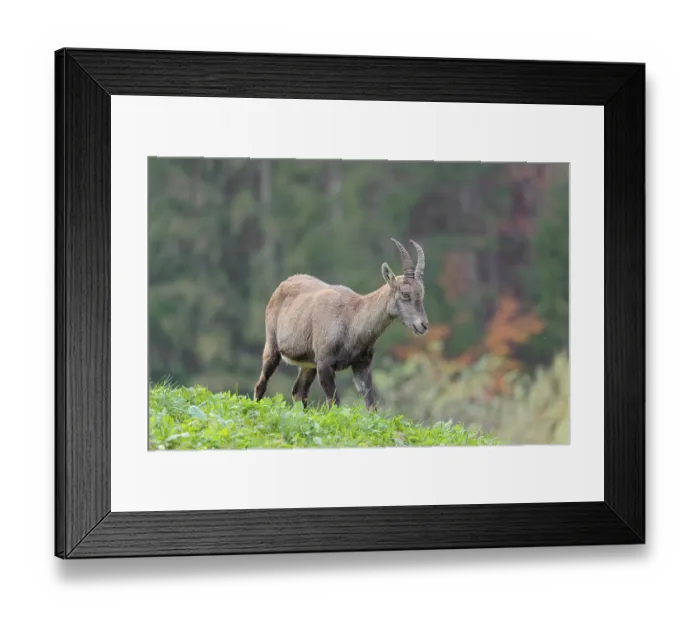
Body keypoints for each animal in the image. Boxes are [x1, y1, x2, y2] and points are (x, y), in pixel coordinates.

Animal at [253, 239, 429, 410]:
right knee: (261, 384)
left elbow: (371, 405)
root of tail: (281, 286)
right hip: (272, 347)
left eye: (422, 293)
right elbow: (335, 404)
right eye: (405, 294)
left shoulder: (361, 364)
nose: (424, 325)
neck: (351, 319)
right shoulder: (324, 365)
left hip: (308, 363)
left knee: (299, 391)